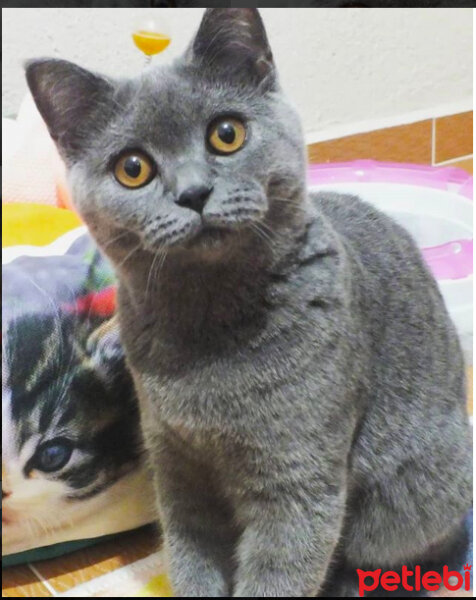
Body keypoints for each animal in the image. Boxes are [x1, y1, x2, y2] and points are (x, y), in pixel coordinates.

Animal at [27, 8, 472, 596]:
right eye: (132, 168)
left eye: (226, 134)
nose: (193, 193)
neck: (207, 329)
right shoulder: (175, 464)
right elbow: (190, 557)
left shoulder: (297, 476)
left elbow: (281, 571)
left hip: (409, 500)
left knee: (406, 553)